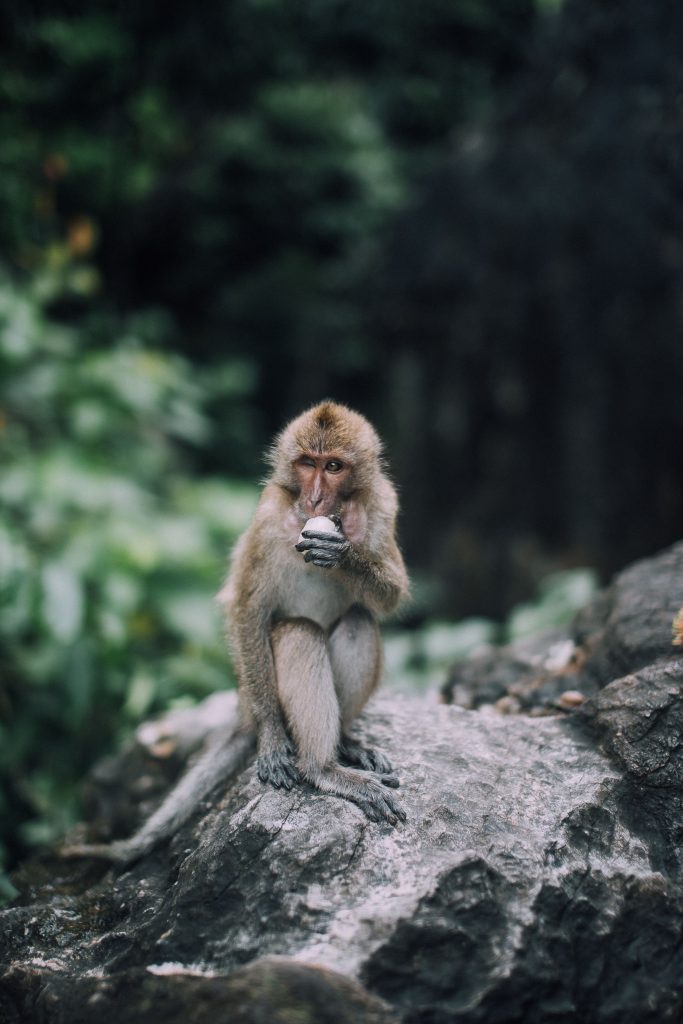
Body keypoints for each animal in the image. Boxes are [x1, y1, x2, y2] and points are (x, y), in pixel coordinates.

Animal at [60, 401, 408, 865]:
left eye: (333, 466)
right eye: (307, 464)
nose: (315, 497)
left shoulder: (384, 502)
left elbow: (390, 596)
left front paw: (344, 553)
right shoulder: (267, 515)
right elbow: (249, 612)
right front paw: (274, 739)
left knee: (358, 621)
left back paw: (344, 743)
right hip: (250, 690)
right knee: (298, 632)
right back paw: (321, 768)